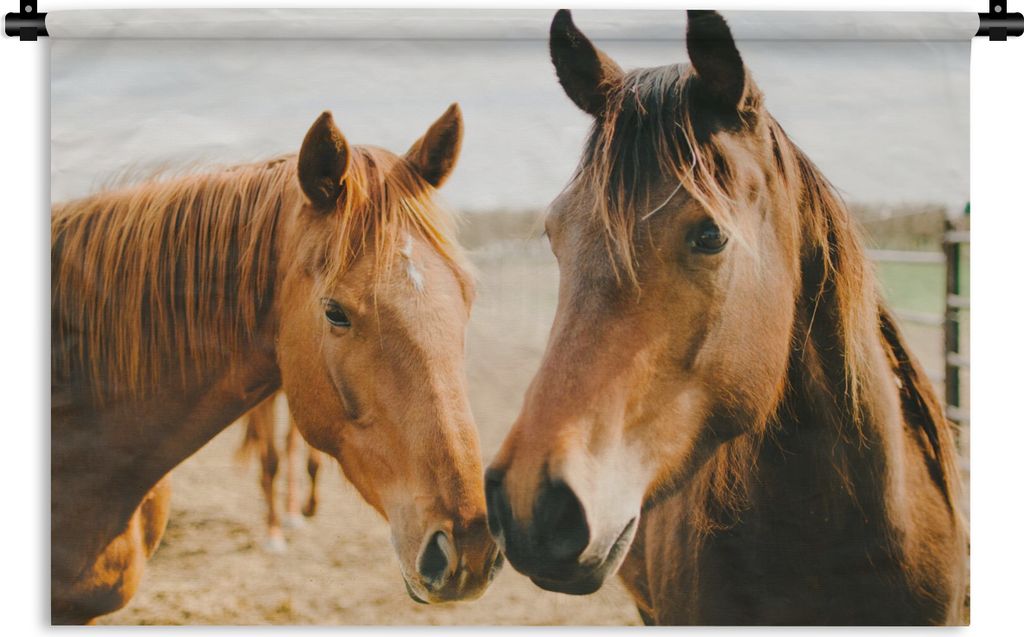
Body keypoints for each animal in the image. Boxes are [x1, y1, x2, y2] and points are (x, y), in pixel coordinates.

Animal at [235, 392, 324, 552]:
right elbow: (271, 463)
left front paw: (309, 508)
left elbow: (314, 462)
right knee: (263, 447)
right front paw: (274, 534)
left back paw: (292, 512)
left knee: (290, 445)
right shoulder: (264, 402)